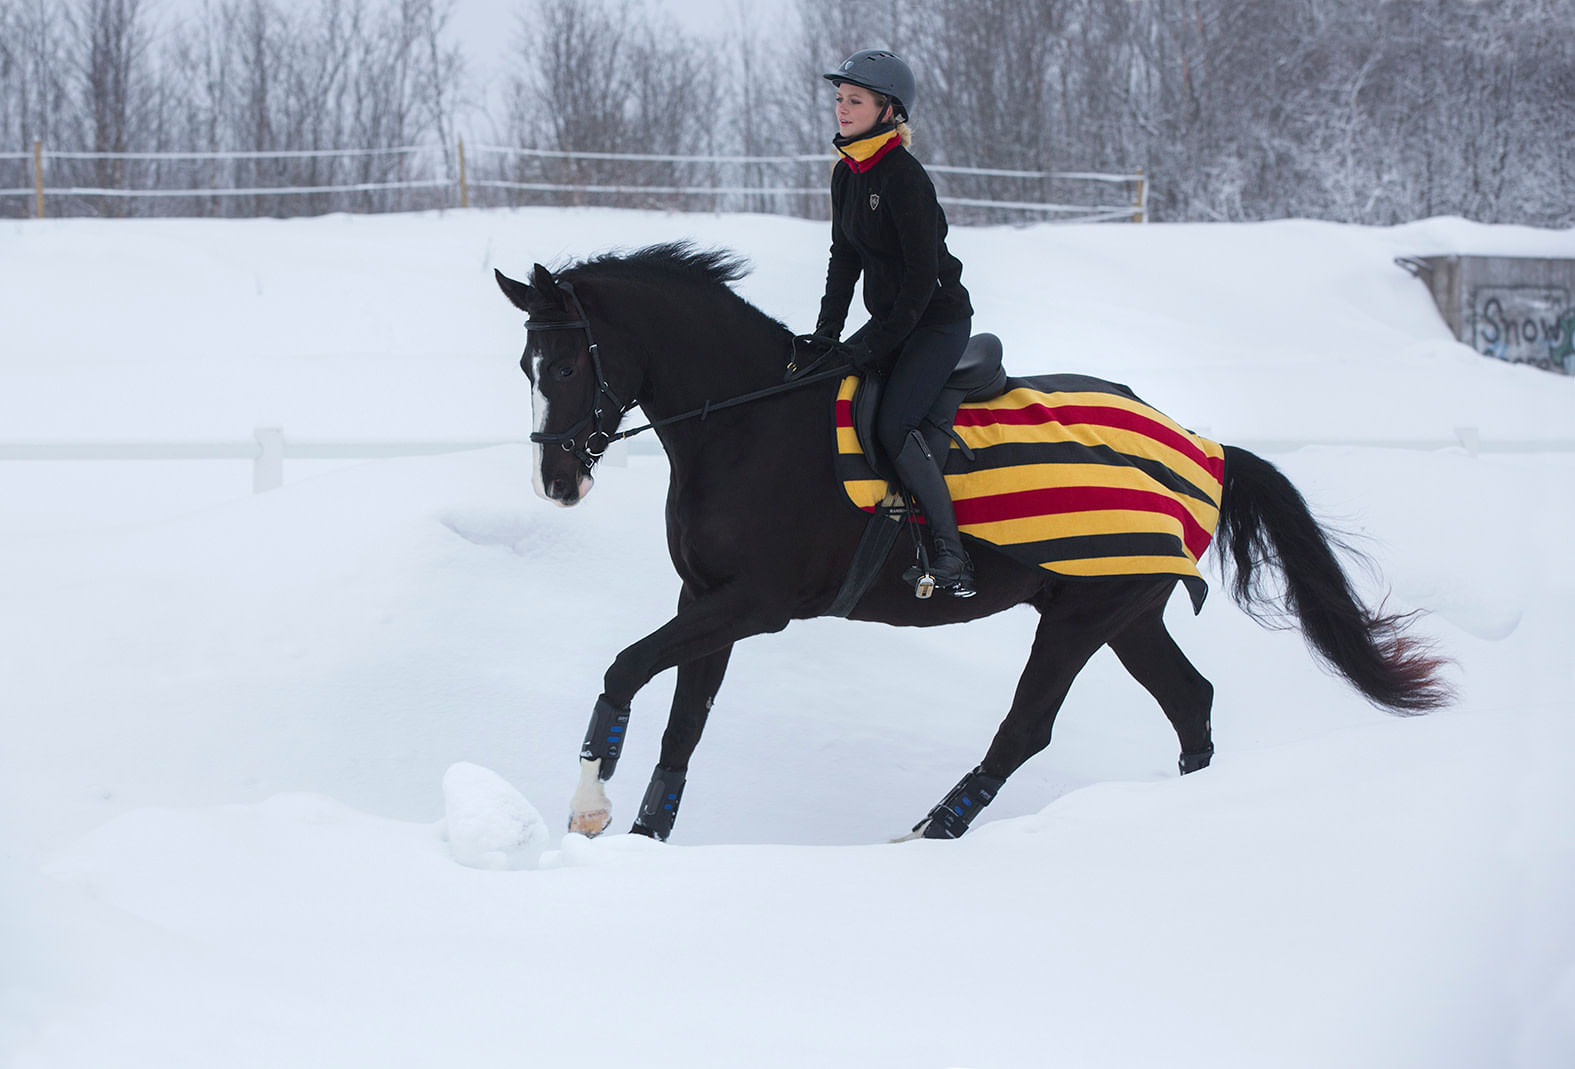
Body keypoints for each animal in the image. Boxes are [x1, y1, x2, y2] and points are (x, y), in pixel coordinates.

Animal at [494, 242, 1449, 843]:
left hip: (1082, 616)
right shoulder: (706, 600)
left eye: (568, 363)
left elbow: (624, 669)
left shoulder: (753, 605)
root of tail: (1202, 446)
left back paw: (929, 830)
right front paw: (644, 835)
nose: (557, 482)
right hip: (1125, 611)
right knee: (1191, 700)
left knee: (1026, 727)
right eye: (526, 368)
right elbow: (682, 725)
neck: (748, 422)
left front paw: (587, 809)